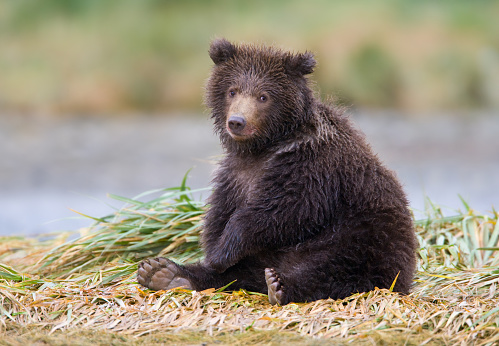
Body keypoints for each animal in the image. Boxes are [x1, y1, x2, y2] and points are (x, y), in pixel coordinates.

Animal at [137, 38, 418, 306]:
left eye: (263, 96)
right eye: (232, 91)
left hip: (366, 234)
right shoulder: (236, 175)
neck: (266, 146)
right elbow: (221, 213)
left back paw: (280, 285)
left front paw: (222, 250)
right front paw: (213, 252)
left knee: (337, 266)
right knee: (243, 273)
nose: (237, 121)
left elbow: (287, 209)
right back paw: (164, 273)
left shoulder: (313, 164)